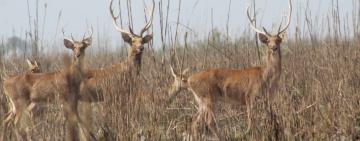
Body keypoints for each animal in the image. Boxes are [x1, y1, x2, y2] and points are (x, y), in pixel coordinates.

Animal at [167, 0, 292, 139]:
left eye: (278, 40)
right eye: (268, 41)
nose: (273, 47)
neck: (267, 78)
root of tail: (189, 79)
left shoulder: (269, 99)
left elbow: (270, 119)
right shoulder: (250, 96)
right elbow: (251, 122)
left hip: (202, 101)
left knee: (195, 122)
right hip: (208, 97)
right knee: (208, 121)